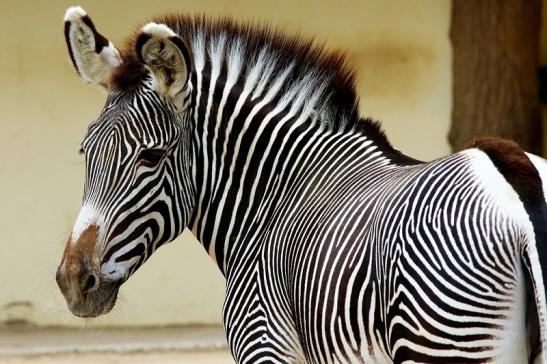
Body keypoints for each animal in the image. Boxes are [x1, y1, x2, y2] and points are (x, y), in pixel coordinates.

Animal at [54, 6, 547, 364]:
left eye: (151, 157)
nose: (73, 282)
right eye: (85, 151)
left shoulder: (264, 344)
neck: (273, 197)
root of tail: (516, 187)